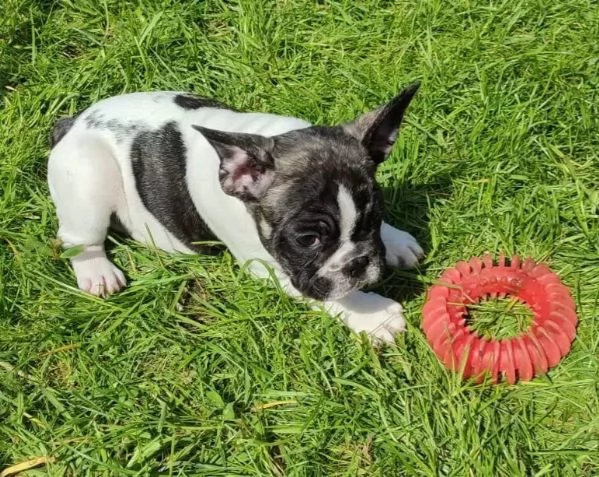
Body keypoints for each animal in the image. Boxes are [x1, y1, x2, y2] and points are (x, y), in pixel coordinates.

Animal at [49, 82, 424, 342]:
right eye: (307, 239)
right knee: (78, 237)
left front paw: (396, 241)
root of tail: (74, 123)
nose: (358, 263)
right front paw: (372, 315)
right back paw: (98, 273)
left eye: (374, 218)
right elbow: (330, 296)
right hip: (90, 175)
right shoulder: (270, 267)